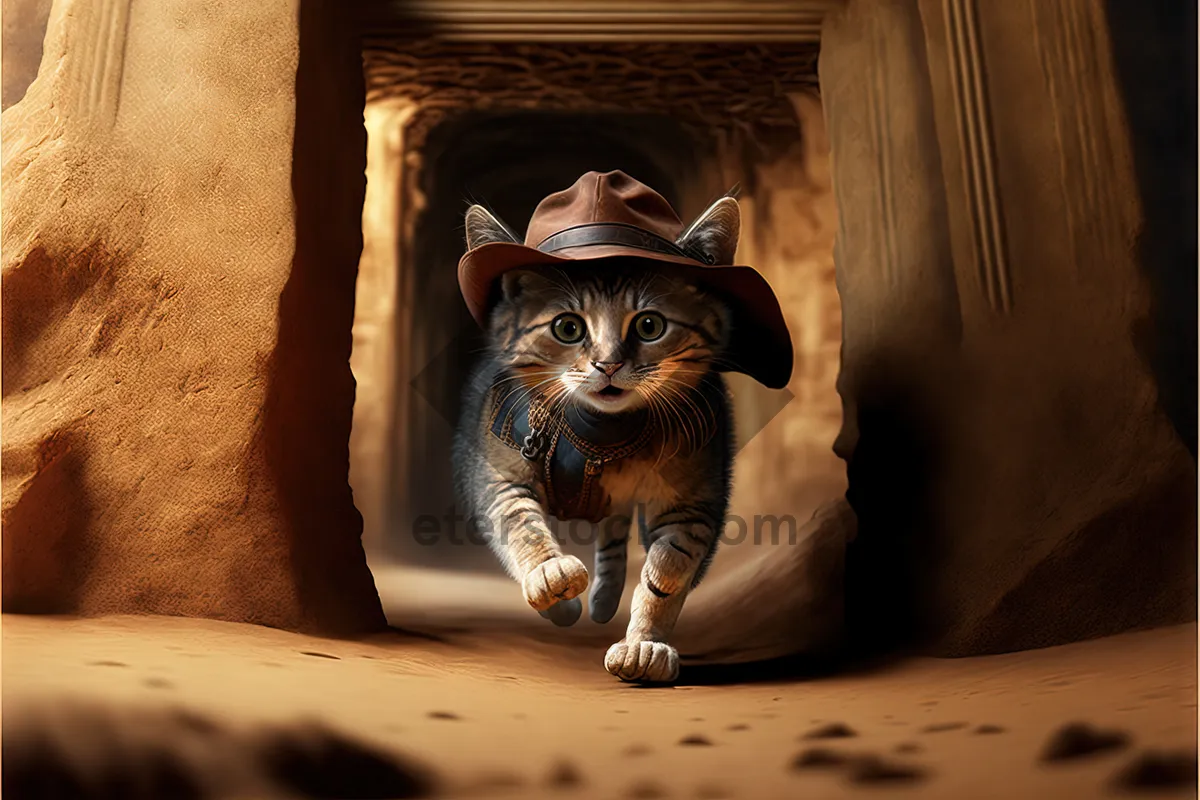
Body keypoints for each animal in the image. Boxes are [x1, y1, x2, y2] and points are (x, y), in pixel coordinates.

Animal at [451, 199, 739, 681]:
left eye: (649, 325)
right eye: (567, 328)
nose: (607, 364)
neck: (602, 432)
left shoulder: (694, 499)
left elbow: (668, 571)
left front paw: (644, 643)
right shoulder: (495, 471)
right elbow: (518, 521)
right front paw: (551, 578)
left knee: (616, 529)